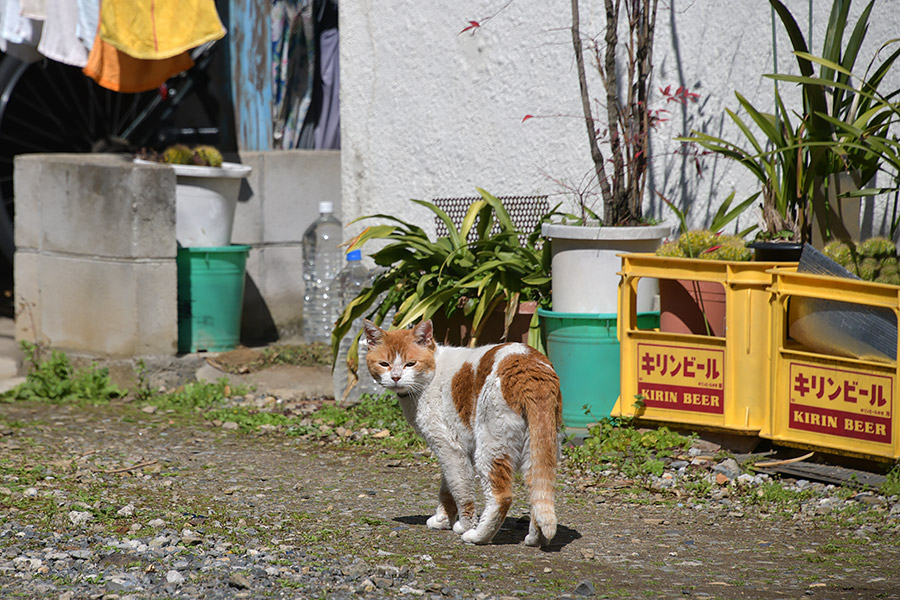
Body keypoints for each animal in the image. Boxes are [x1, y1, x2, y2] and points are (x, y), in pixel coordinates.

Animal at [360, 322, 560, 548]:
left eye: (410, 364)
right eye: (384, 364)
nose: (395, 377)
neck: (431, 374)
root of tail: (530, 370)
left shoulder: (448, 446)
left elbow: (461, 491)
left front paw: (464, 524)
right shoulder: (457, 450)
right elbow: (447, 487)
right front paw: (442, 519)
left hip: (491, 448)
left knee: (502, 497)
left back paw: (479, 536)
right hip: (538, 447)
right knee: (539, 490)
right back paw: (536, 538)